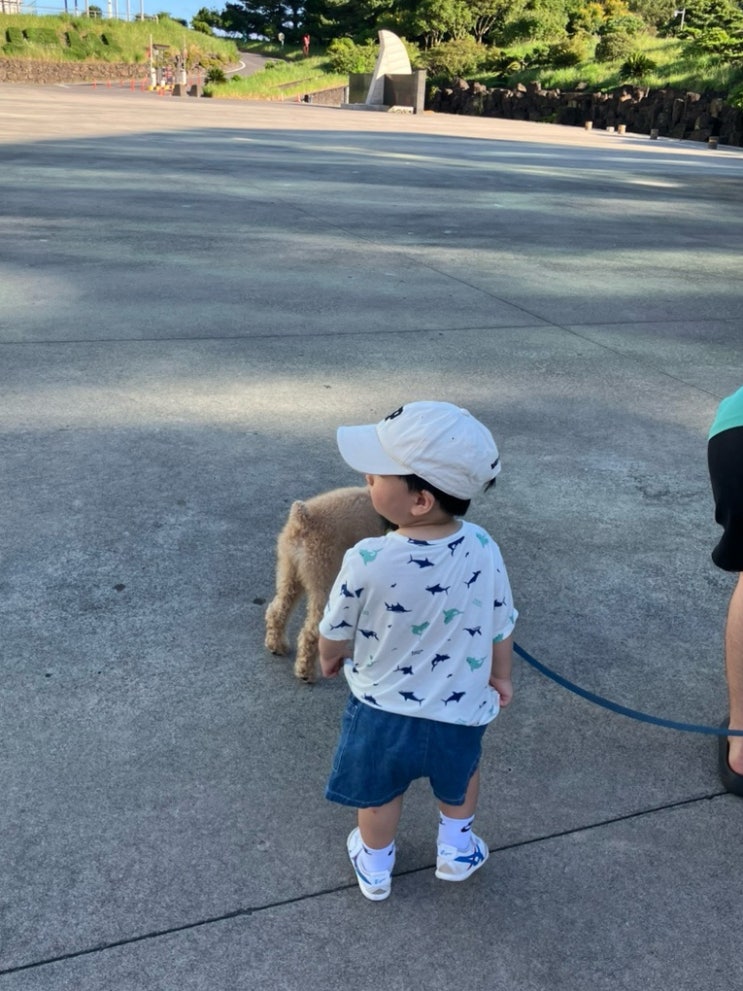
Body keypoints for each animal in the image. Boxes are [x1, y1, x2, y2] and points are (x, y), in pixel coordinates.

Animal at [265, 486, 387, 682]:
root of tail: (305, 519)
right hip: (325, 582)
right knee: (312, 631)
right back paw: (306, 672)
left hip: (290, 574)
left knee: (277, 610)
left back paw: (277, 645)